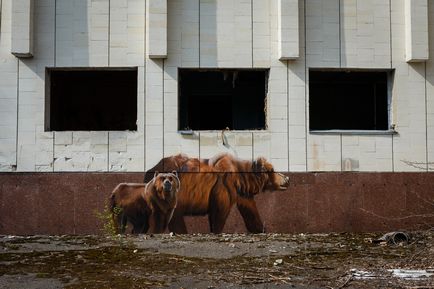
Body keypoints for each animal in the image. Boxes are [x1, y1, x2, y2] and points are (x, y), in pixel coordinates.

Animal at [144, 152, 290, 233]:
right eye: (272, 170)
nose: (287, 179)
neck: (241, 178)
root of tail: (151, 169)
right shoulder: (223, 186)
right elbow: (219, 213)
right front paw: (216, 230)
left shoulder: (242, 194)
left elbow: (251, 212)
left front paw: (261, 229)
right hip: (174, 191)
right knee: (174, 217)